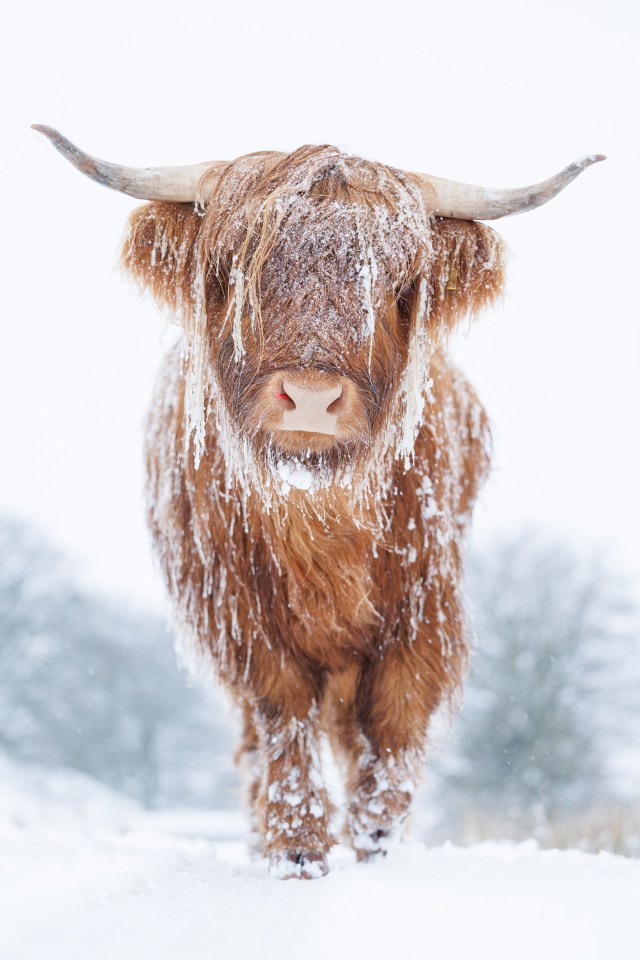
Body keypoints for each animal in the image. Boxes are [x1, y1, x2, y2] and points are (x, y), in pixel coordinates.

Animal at [33, 127, 604, 876]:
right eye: (235, 271)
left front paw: (379, 842)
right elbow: (283, 711)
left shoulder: (426, 605)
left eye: (397, 284)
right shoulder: (238, 613)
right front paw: (297, 846)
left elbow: (394, 717)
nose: (310, 397)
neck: (321, 514)